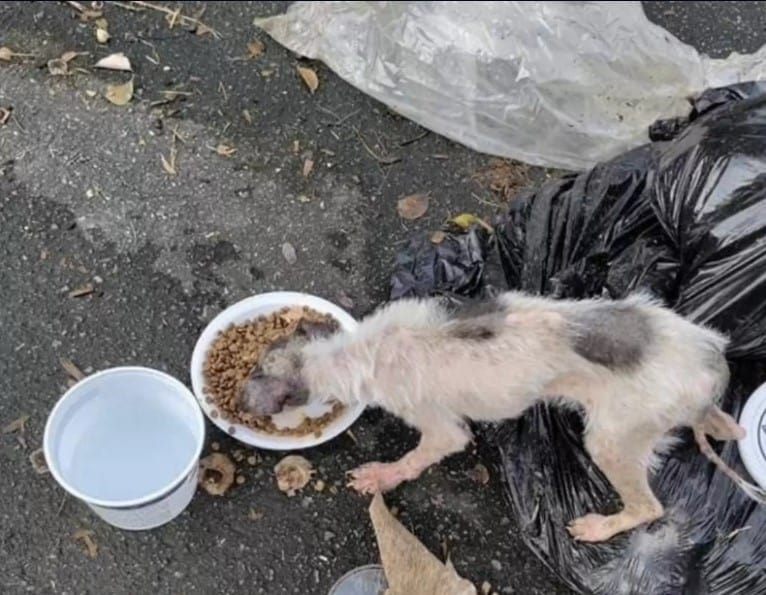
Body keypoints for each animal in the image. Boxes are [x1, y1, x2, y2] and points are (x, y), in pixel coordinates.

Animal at [237, 292, 764, 544]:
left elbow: (421, 455)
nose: (238, 400)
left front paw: (380, 477)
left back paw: (599, 527)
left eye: (258, 371)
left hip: (615, 437)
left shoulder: (440, 427)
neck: (360, 351)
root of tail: (709, 364)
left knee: (649, 507)